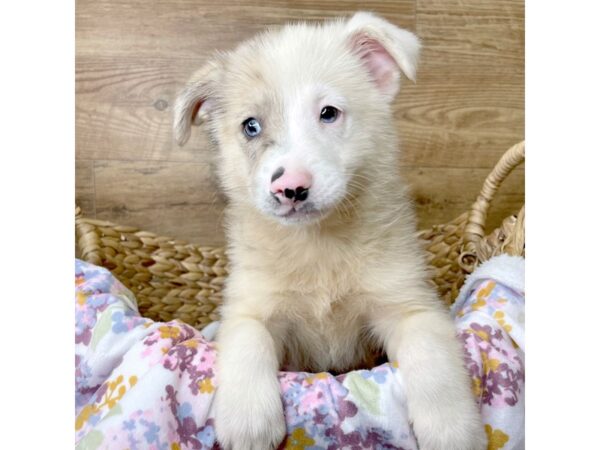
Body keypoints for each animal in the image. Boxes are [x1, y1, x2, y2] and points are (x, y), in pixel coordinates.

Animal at [171, 11, 486, 450]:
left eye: (329, 113)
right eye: (250, 126)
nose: (290, 188)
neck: (319, 244)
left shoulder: (408, 304)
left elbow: (433, 361)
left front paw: (452, 429)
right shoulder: (250, 307)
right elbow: (247, 342)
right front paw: (250, 421)